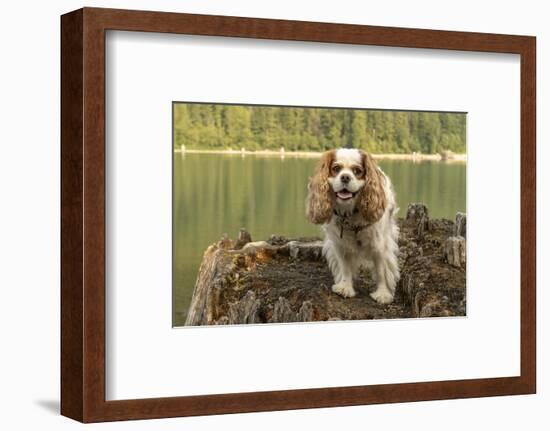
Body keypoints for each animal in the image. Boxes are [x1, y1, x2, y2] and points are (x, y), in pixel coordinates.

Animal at [306, 148, 402, 304]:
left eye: (357, 171)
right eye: (336, 169)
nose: (345, 177)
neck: (350, 212)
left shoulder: (379, 245)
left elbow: (381, 270)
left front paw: (382, 294)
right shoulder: (340, 244)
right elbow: (345, 267)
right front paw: (345, 287)